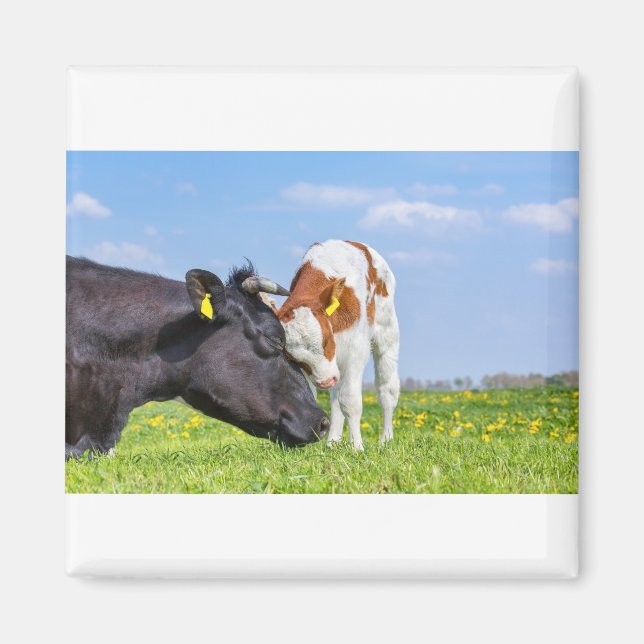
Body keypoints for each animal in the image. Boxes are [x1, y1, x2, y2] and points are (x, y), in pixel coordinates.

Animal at [277, 240, 400, 450]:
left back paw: (386, 439)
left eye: (326, 340)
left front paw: (357, 447)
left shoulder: (355, 352)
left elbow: (350, 401)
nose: (325, 381)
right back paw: (332, 442)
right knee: (335, 397)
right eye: (293, 357)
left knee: (387, 391)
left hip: (387, 333)